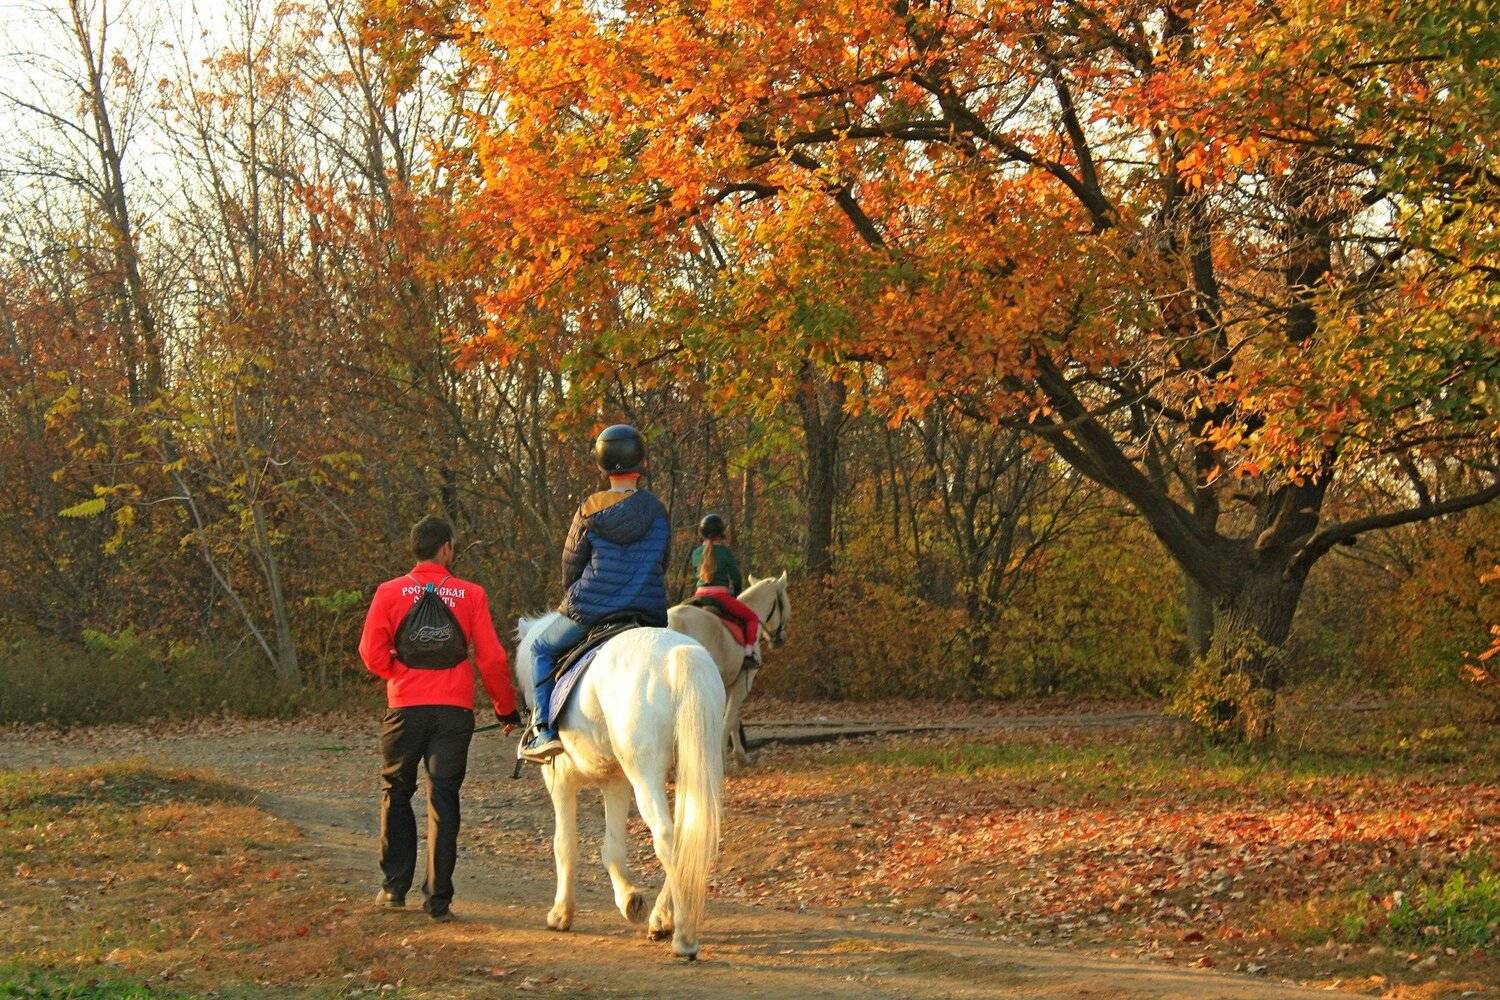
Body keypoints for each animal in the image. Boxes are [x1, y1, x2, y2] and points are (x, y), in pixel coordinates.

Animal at [514, 613, 727, 959]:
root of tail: (681, 655)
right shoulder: (615, 781)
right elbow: (612, 848)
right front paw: (630, 899)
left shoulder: (560, 781)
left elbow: (564, 844)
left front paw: (561, 913)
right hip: (692, 769)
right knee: (688, 835)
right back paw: (662, 919)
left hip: (645, 776)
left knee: (666, 838)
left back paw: (683, 937)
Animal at [667, 571, 791, 767]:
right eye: (784, 602)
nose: (781, 639)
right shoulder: (742, 683)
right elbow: (730, 718)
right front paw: (732, 757)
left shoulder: (728, 684)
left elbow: (732, 718)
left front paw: (739, 755)